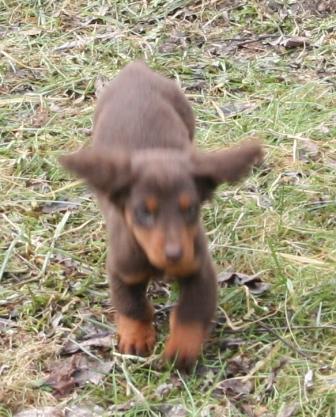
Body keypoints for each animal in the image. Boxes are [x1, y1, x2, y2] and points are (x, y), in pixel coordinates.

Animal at [61, 61, 266, 368]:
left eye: (190, 209)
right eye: (144, 213)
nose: (175, 255)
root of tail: (136, 68)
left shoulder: (200, 269)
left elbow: (191, 313)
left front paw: (181, 349)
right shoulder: (123, 267)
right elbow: (132, 306)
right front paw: (136, 338)